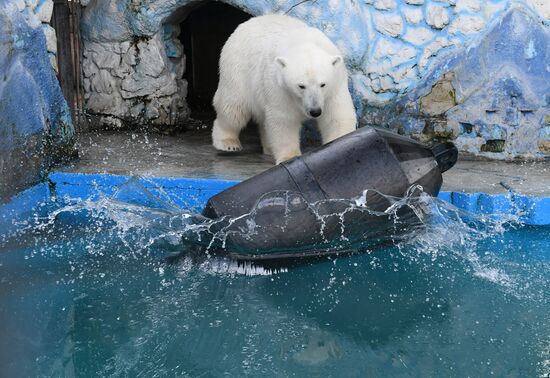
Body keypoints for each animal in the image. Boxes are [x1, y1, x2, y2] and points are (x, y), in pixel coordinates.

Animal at [211, 14, 358, 165]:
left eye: (323, 84)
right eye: (301, 86)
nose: (315, 111)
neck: (304, 43)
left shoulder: (335, 85)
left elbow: (336, 115)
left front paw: (342, 146)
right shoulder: (279, 86)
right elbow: (283, 119)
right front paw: (289, 157)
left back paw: (269, 148)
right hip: (237, 69)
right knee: (234, 109)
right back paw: (228, 142)